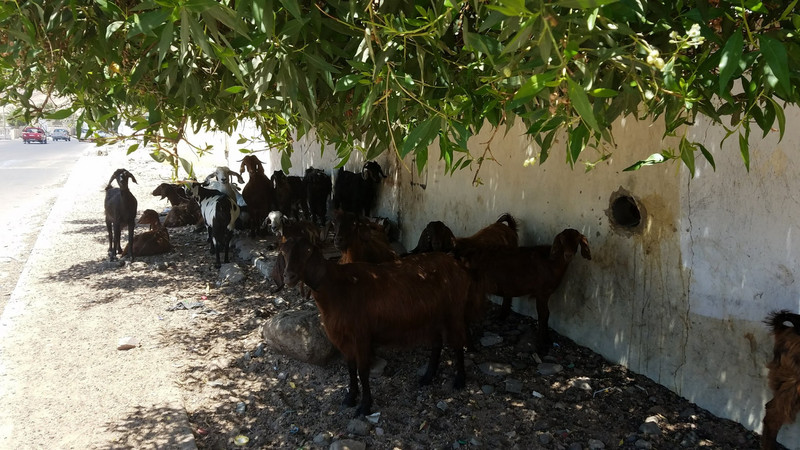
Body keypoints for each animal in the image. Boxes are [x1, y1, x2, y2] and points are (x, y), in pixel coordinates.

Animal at [282, 237, 482, 416]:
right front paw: (350, 398)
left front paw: (364, 406)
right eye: (283, 251)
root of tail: (458, 266)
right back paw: (427, 377)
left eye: (308, 251)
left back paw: (459, 380)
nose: (289, 277)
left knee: (457, 344)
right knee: (437, 343)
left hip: (454, 311)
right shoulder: (344, 338)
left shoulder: (361, 335)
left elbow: (363, 371)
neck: (337, 287)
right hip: (434, 315)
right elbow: (350, 367)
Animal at [456, 230, 588, 354]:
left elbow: (546, 315)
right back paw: (470, 347)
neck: (552, 262)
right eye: (562, 240)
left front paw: (548, 340)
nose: (568, 255)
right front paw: (542, 345)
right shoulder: (542, 292)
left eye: (577, 240)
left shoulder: (546, 294)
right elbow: (543, 315)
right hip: (473, 290)